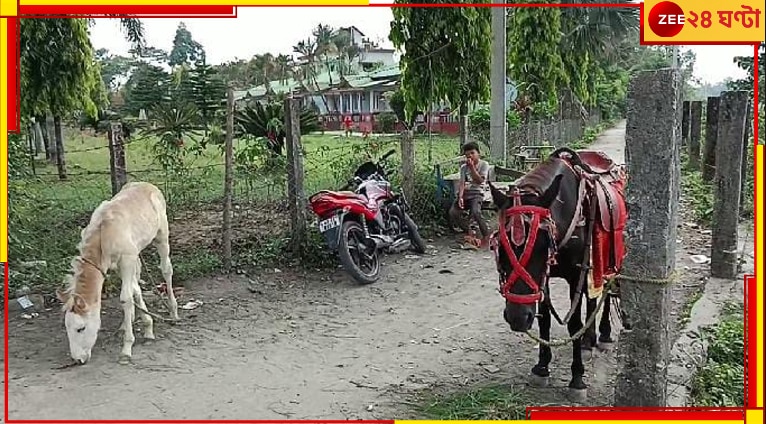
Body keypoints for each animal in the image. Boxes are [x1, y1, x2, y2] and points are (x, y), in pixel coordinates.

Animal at [488, 147, 628, 400]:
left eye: (544, 246)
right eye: (500, 247)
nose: (517, 318)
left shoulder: (574, 276)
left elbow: (573, 323)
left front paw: (577, 378)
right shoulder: (545, 278)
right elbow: (544, 318)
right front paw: (542, 367)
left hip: (613, 258)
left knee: (606, 290)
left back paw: (603, 334)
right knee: (592, 297)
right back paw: (588, 340)